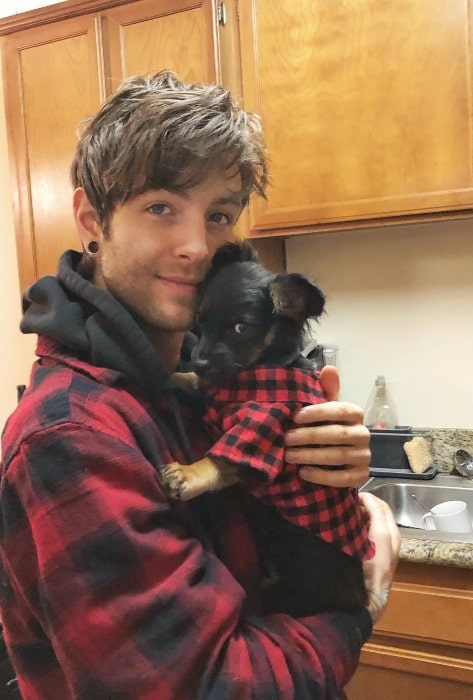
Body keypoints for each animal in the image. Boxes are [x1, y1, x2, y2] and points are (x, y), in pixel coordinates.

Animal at [162, 243, 372, 616]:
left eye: (240, 328)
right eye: (200, 321)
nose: (198, 360)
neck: (256, 374)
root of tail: (358, 598)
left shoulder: (261, 435)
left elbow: (219, 460)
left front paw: (186, 474)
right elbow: (202, 385)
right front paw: (177, 374)